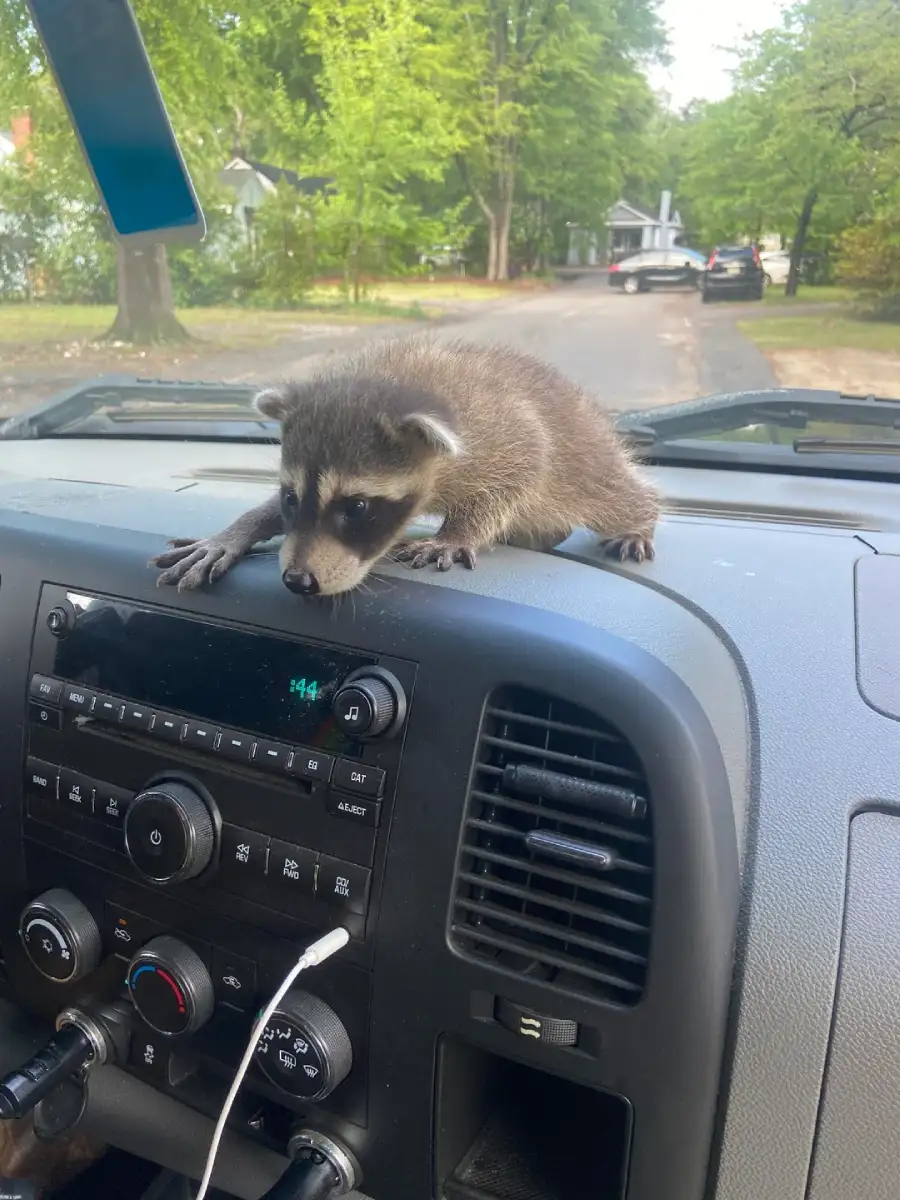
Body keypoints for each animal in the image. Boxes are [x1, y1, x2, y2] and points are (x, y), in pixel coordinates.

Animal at [151, 338, 659, 596]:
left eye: (356, 506)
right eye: (290, 496)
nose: (297, 581)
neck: (388, 381)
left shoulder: (505, 435)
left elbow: (519, 472)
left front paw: (457, 533)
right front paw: (239, 530)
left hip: (586, 455)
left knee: (615, 494)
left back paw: (640, 519)